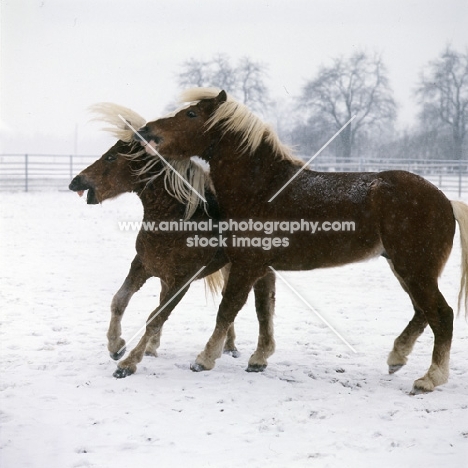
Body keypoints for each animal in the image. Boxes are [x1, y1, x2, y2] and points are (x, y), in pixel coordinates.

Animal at [67, 104, 276, 378]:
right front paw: (116, 346)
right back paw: (222, 347)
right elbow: (120, 301)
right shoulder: (143, 266)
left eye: (111, 157)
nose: (75, 182)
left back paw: (249, 355)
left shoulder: (182, 280)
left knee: (257, 301)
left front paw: (128, 363)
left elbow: (155, 318)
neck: (179, 218)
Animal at [137, 87, 468, 392]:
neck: (263, 189)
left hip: (415, 271)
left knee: (442, 315)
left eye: (192, 114)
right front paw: (259, 359)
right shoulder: (262, 268)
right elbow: (263, 311)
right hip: (405, 269)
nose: (146, 132)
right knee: (422, 313)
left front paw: (204, 359)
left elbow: (228, 309)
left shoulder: (247, 265)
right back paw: (397, 357)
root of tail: (447, 201)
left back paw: (430, 378)